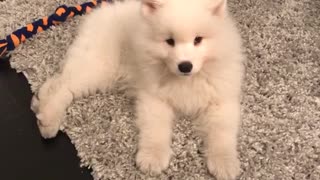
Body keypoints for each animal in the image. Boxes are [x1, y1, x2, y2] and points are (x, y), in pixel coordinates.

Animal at [30, 0, 245, 179]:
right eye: (169, 41)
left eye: (198, 40)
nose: (185, 66)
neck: (186, 80)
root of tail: (98, 14)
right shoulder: (153, 97)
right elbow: (155, 129)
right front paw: (152, 159)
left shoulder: (221, 100)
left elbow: (222, 132)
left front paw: (225, 164)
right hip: (100, 66)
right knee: (61, 86)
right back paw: (48, 121)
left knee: (55, 82)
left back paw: (38, 105)